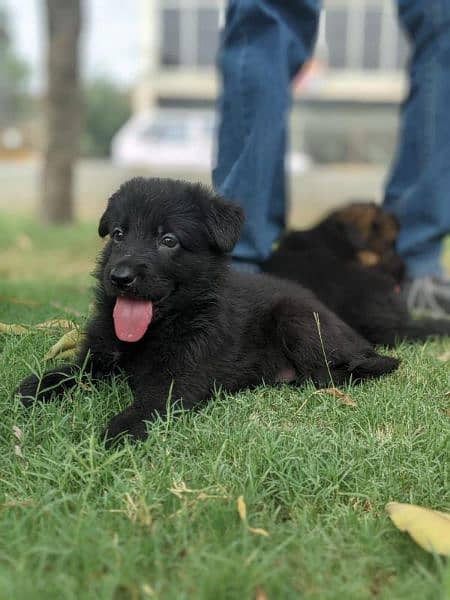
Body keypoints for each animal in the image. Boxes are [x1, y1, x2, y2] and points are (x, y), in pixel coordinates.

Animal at [15, 178, 400, 446]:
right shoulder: (95, 360)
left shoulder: (178, 377)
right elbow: (61, 376)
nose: (119, 278)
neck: (158, 327)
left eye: (168, 241)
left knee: (347, 368)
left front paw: (120, 431)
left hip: (296, 318)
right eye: (119, 234)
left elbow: (147, 404)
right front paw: (35, 389)